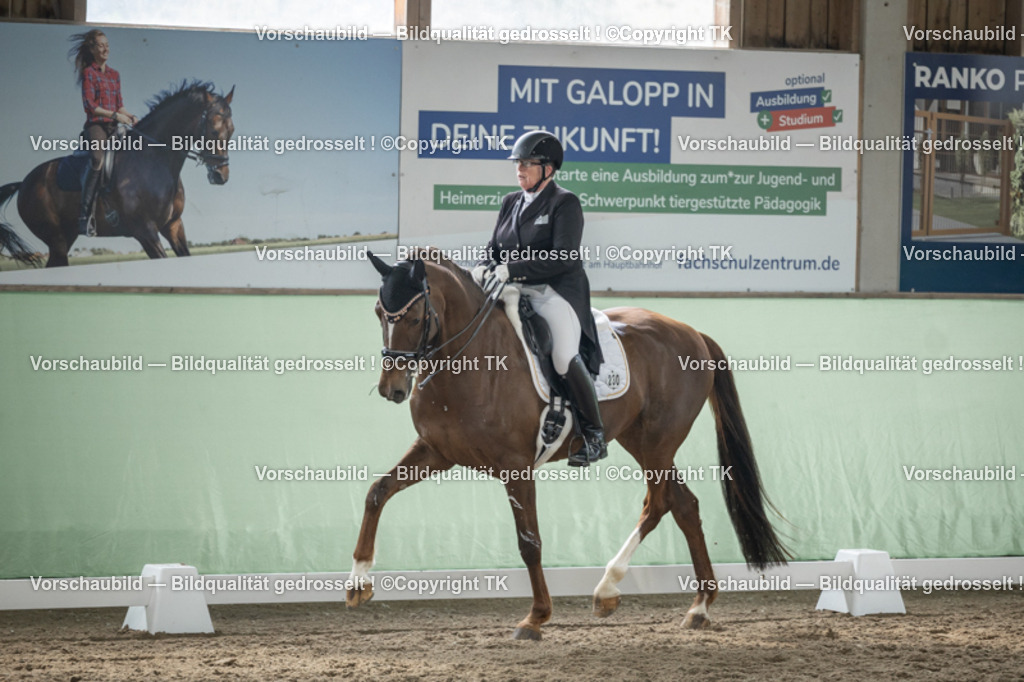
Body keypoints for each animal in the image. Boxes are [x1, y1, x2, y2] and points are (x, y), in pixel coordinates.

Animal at [0, 81, 234, 267]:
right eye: (214, 130)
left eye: (231, 130)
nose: (221, 175)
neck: (154, 160)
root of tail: (24, 182)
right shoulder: (145, 231)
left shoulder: (174, 225)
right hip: (56, 238)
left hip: (66, 237)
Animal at [348, 248, 790, 640]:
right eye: (378, 313)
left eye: (415, 316)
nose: (392, 388)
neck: (469, 359)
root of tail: (692, 333)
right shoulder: (437, 452)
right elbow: (377, 492)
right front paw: (357, 583)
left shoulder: (516, 465)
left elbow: (529, 542)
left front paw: (536, 618)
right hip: (640, 440)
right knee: (683, 505)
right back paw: (692, 606)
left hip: (657, 444)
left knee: (661, 502)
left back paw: (615, 589)